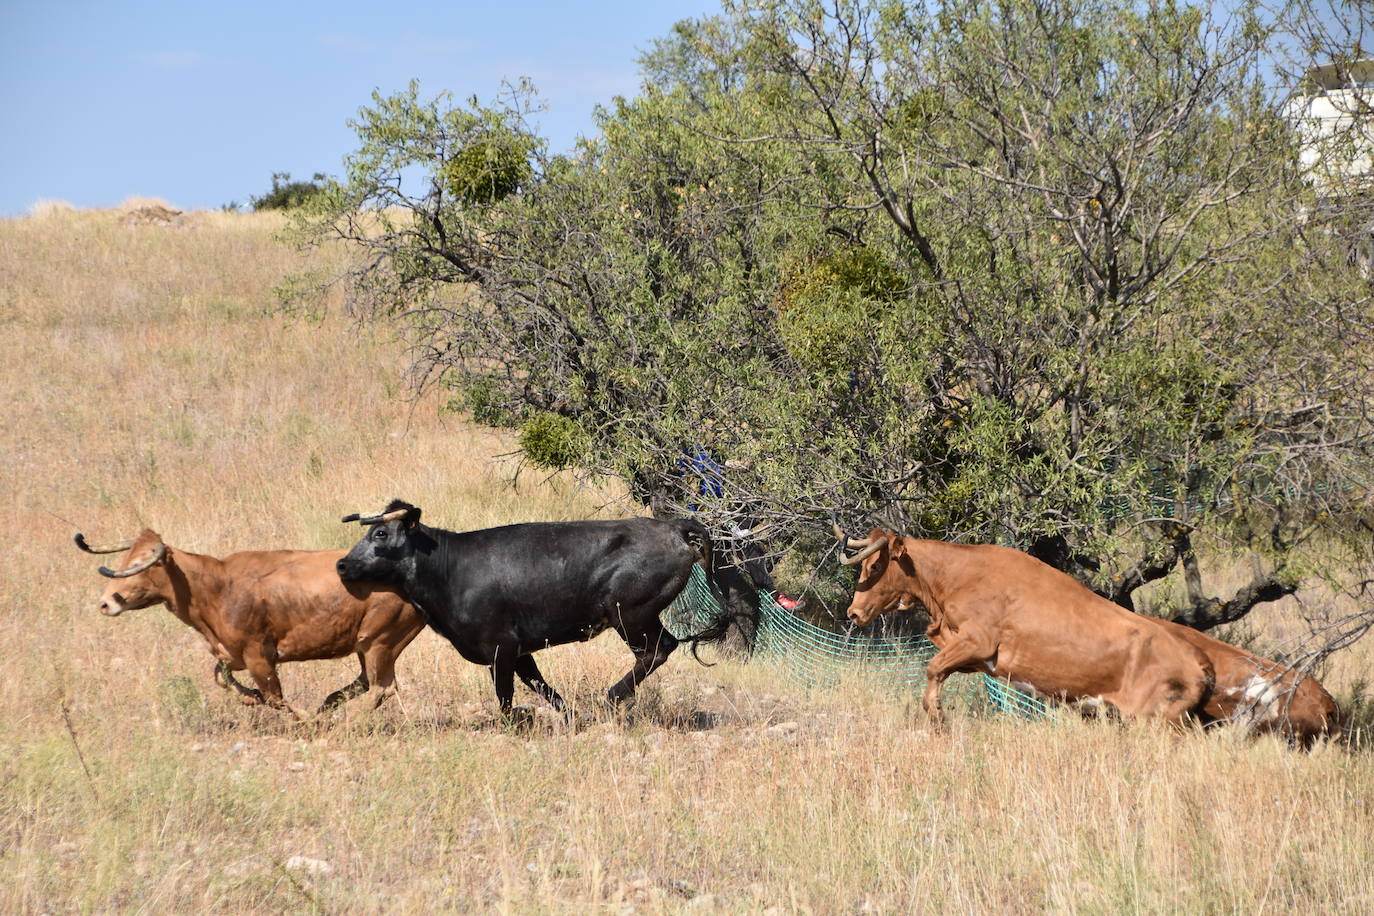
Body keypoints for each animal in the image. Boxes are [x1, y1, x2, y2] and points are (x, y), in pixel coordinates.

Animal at [73, 530, 417, 714]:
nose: (106, 602)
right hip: (370, 645)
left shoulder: (259, 656)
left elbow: (276, 697)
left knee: (381, 687)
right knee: (368, 683)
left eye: (145, 562)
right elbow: (222, 677)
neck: (214, 586)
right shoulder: (231, 654)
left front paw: (304, 717)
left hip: (378, 641)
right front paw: (251, 698)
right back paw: (328, 706)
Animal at [340, 502, 752, 714]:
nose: (342, 565)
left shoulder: (500, 647)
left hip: (631, 614)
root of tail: (673, 528)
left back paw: (612, 696)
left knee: (658, 649)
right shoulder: (520, 650)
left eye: (380, 533)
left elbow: (506, 695)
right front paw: (570, 717)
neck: (449, 567)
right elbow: (540, 686)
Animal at [835, 530, 1214, 730]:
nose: (854, 613)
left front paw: (938, 714)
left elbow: (933, 667)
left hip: (1154, 721)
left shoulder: (978, 643)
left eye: (874, 566)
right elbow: (938, 670)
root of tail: (1199, 661)